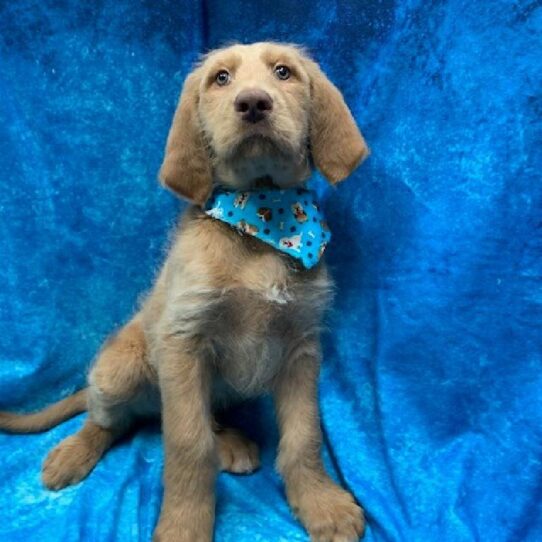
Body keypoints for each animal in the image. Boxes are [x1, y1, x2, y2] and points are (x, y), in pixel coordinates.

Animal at [0, 40, 370, 540]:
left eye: (283, 72)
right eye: (220, 79)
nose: (253, 104)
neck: (261, 218)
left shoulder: (301, 347)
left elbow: (304, 435)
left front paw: (320, 503)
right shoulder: (183, 343)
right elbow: (187, 443)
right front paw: (184, 522)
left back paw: (230, 442)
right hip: (120, 370)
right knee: (106, 419)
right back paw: (73, 452)